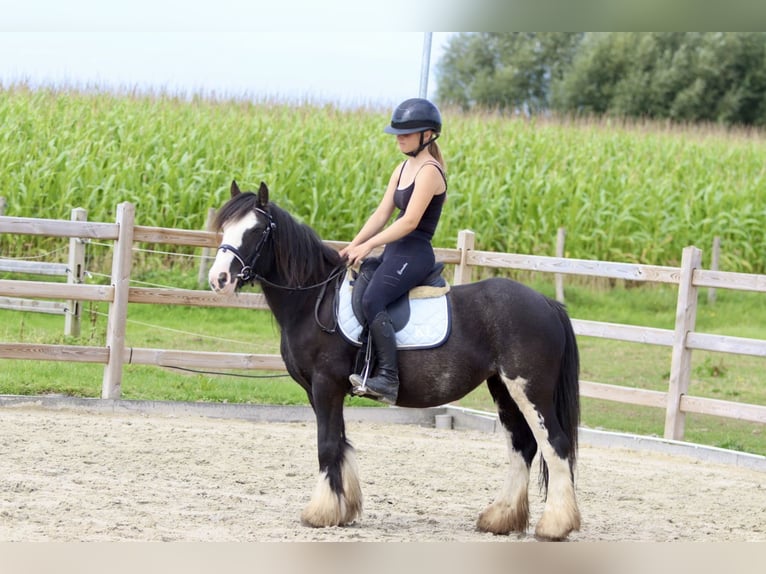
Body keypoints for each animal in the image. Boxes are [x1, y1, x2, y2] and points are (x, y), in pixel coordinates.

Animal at [208, 182, 584, 544]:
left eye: (256, 231)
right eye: (225, 227)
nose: (219, 279)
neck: (315, 299)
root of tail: (547, 303)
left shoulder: (326, 384)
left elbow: (327, 445)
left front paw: (321, 513)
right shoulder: (319, 391)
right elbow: (340, 442)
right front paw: (344, 510)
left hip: (531, 389)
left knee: (555, 445)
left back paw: (555, 526)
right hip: (503, 389)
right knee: (522, 446)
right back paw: (501, 518)